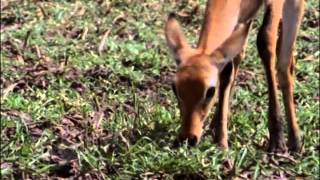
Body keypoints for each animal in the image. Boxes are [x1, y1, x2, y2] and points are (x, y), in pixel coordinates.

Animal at [166, 0, 304, 153]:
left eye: (210, 91)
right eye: (174, 88)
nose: (188, 138)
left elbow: (265, 41)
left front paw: (277, 141)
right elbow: (228, 67)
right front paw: (220, 137)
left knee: (285, 67)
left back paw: (295, 141)